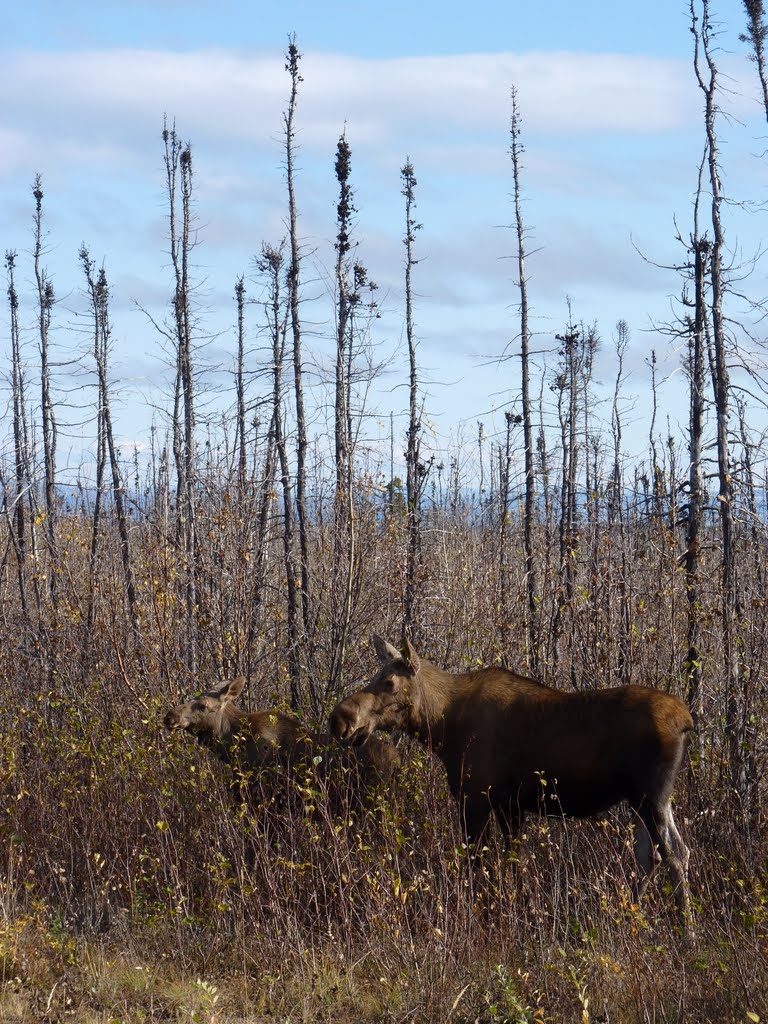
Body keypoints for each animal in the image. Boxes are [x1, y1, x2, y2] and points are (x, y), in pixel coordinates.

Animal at [331, 630, 696, 929]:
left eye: (389, 683)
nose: (341, 718)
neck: (442, 728)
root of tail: (686, 721)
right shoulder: (512, 807)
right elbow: (512, 863)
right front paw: (521, 915)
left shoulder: (476, 799)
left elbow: (479, 864)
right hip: (647, 799)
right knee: (656, 854)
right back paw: (629, 918)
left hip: (649, 795)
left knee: (671, 855)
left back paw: (686, 931)